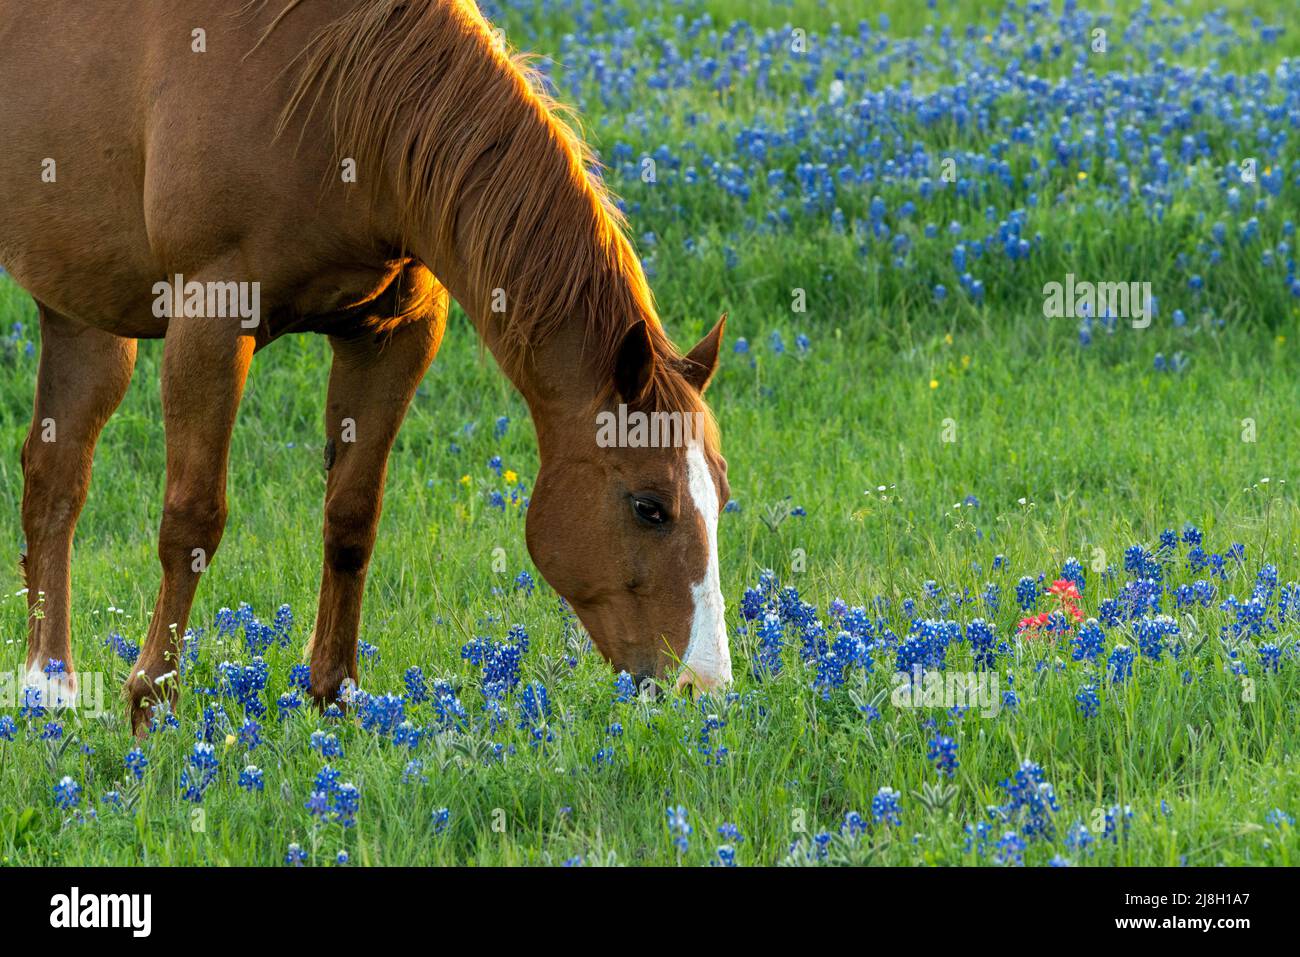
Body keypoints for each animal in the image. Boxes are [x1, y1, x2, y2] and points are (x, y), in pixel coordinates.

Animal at [0, 0, 733, 733]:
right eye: (649, 507)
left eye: (722, 497)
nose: (705, 688)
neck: (328, 96)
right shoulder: (209, 316)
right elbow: (192, 519)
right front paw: (153, 705)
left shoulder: (394, 332)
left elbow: (352, 516)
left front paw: (335, 695)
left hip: (81, 303)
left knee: (55, 477)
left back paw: (49, 687)